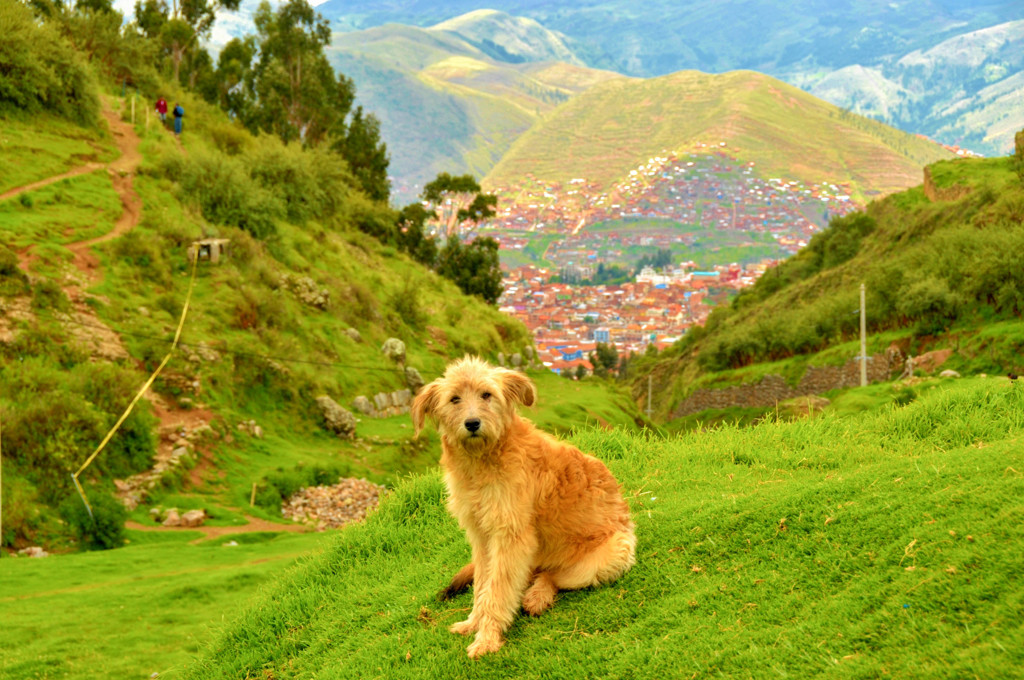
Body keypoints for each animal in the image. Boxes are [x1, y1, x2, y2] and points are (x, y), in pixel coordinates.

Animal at [411, 356, 634, 659]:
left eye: (487, 395)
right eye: (454, 399)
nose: (472, 423)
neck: (483, 461)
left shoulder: (511, 536)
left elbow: (498, 589)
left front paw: (487, 639)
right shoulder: (482, 536)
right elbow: (483, 583)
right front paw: (473, 622)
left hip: (612, 553)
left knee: (553, 576)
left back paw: (537, 596)